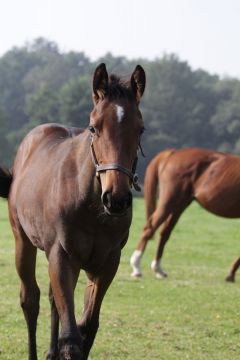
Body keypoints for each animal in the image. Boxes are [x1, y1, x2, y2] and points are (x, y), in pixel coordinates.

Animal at [0, 63, 146, 358]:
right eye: (94, 127)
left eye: (140, 129)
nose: (116, 199)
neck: (91, 206)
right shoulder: (62, 255)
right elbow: (71, 337)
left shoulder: (107, 262)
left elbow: (87, 328)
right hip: (23, 241)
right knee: (30, 300)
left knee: (52, 300)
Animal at [130, 148, 240, 282]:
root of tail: (172, 153)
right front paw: (231, 273)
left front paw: (231, 273)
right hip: (169, 201)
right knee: (149, 228)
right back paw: (136, 266)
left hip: (180, 204)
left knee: (164, 233)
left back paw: (158, 269)